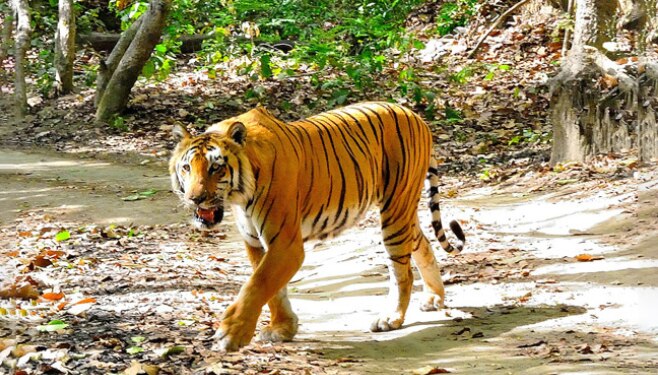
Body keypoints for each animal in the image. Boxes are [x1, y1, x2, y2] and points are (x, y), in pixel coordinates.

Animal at [169, 100, 466, 352]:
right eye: (187, 168)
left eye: (215, 168)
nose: (195, 198)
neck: (239, 197)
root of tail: (416, 116)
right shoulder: (255, 242)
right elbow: (271, 289)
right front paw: (282, 328)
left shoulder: (285, 243)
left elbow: (257, 285)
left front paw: (231, 335)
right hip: (401, 211)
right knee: (422, 242)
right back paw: (434, 298)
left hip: (395, 209)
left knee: (401, 271)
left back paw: (390, 317)